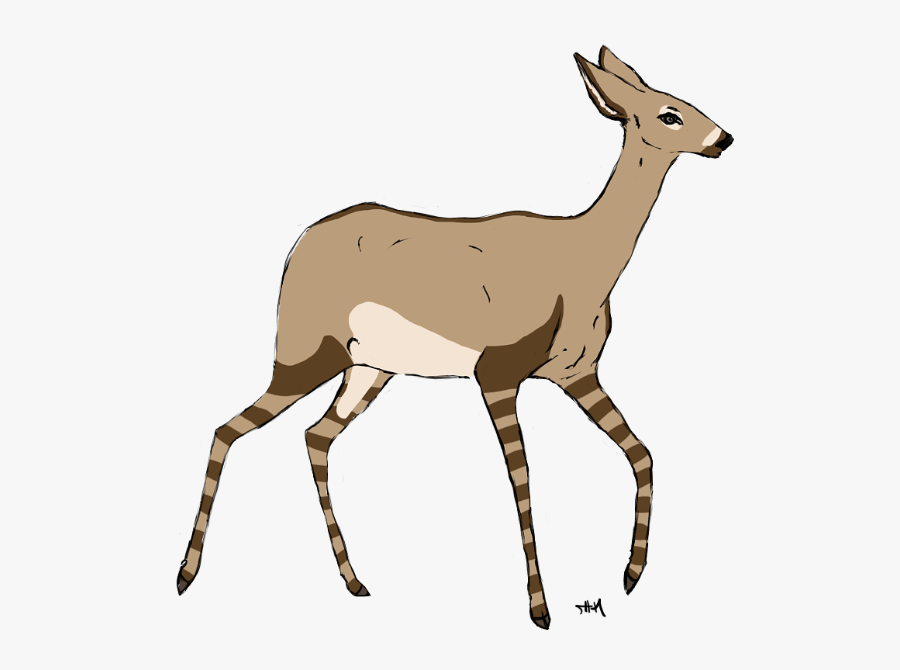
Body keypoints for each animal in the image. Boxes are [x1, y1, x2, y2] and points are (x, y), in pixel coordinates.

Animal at [177, 46, 732, 630]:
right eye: (669, 114)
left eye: (685, 101)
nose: (724, 139)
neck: (580, 258)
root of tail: (299, 245)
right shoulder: (497, 374)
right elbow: (523, 478)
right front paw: (540, 608)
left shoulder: (577, 374)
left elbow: (641, 452)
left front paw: (631, 574)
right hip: (305, 357)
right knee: (227, 430)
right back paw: (186, 577)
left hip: (369, 370)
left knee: (313, 435)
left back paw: (355, 582)